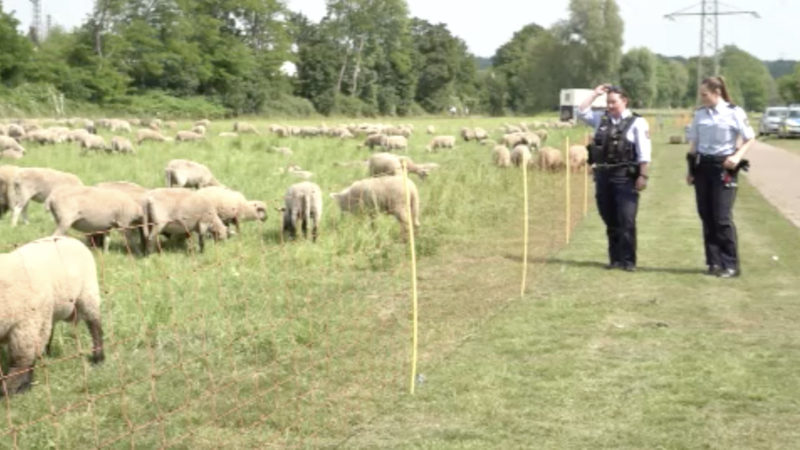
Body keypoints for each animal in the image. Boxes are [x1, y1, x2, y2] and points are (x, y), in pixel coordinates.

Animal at [0, 237, 104, 396]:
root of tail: (69, 239)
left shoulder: (26, 326)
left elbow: (21, 361)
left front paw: (13, 390)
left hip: (87, 293)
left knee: (95, 325)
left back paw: (99, 358)